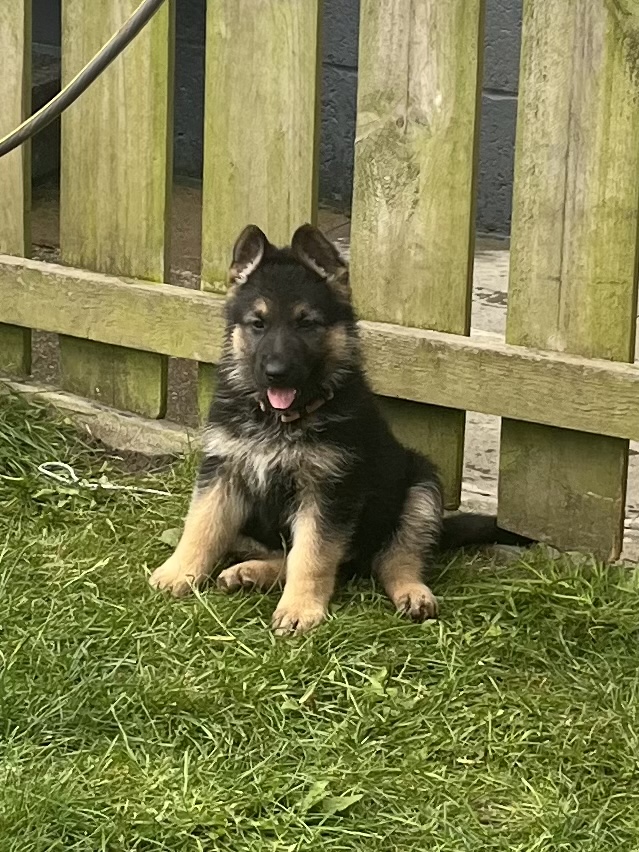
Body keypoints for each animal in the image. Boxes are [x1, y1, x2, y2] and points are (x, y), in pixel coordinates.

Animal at [151, 223, 528, 636]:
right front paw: (178, 573)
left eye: (306, 323)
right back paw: (249, 572)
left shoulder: (328, 491)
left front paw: (300, 608)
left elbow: (313, 555)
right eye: (258, 324)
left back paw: (412, 593)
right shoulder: (222, 472)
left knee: (389, 559)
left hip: (421, 489)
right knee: (293, 555)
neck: (282, 420)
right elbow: (201, 527)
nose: (276, 373)